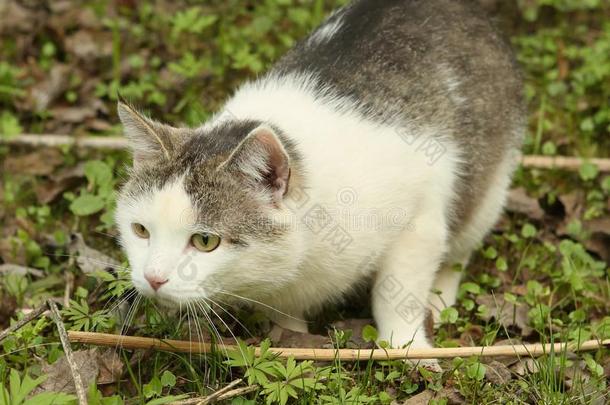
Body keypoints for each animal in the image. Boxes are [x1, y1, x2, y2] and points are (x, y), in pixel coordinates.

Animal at [114, 0, 524, 360]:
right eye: (140, 230)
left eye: (205, 241)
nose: (153, 278)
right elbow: (287, 317)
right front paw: (295, 342)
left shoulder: (420, 219)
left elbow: (397, 294)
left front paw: (408, 350)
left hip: (487, 186)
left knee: (461, 245)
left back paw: (440, 299)